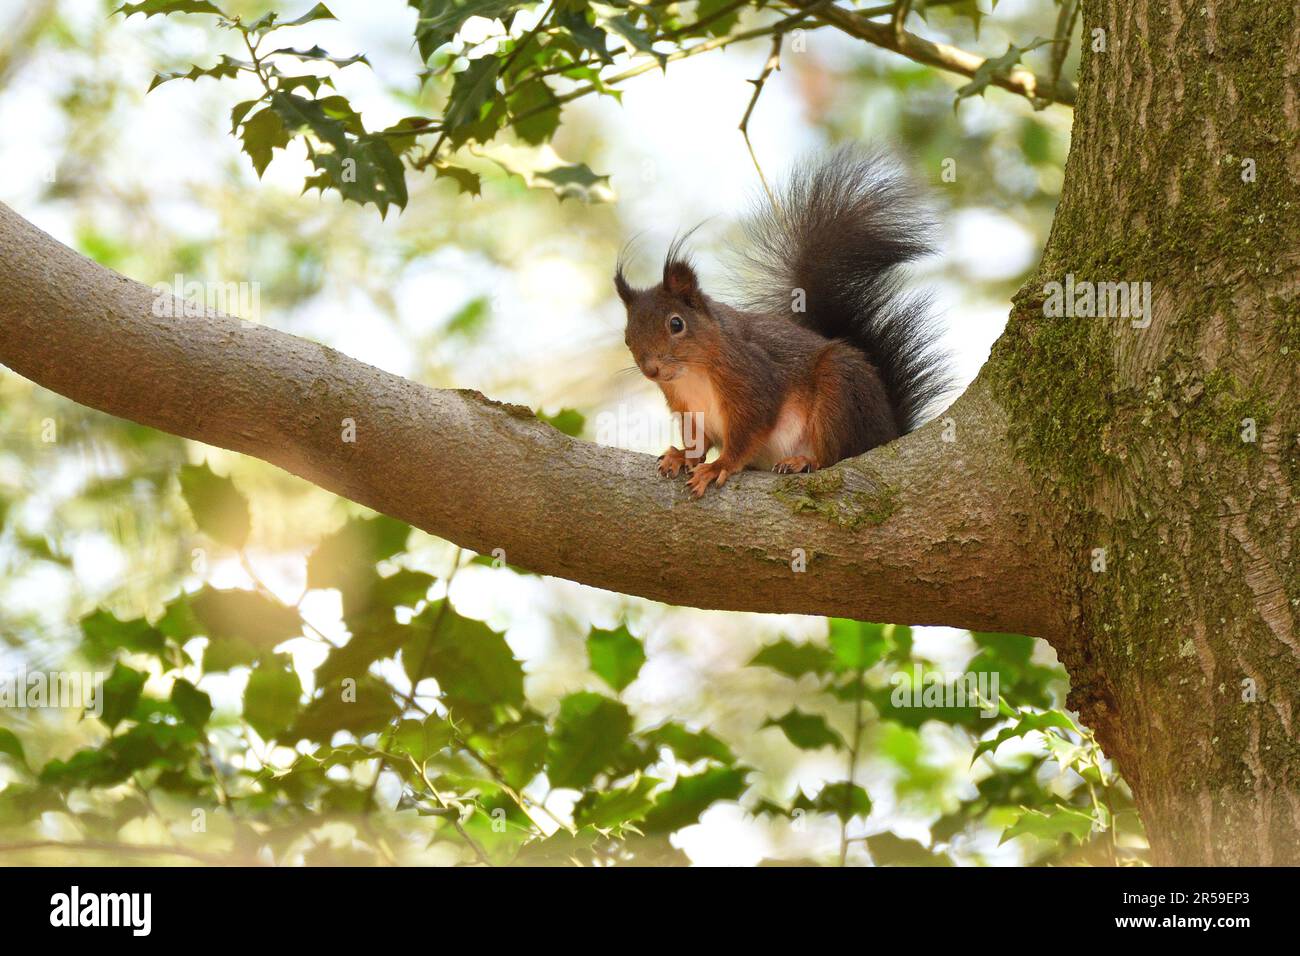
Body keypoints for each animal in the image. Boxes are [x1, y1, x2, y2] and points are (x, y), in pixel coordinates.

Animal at [613, 149, 951, 502]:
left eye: (676, 324)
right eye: (627, 338)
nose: (651, 369)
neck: (692, 374)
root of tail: (888, 433)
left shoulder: (752, 381)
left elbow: (747, 433)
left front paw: (719, 466)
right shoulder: (690, 410)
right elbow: (698, 442)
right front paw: (682, 456)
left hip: (840, 389)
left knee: (837, 455)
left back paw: (805, 461)